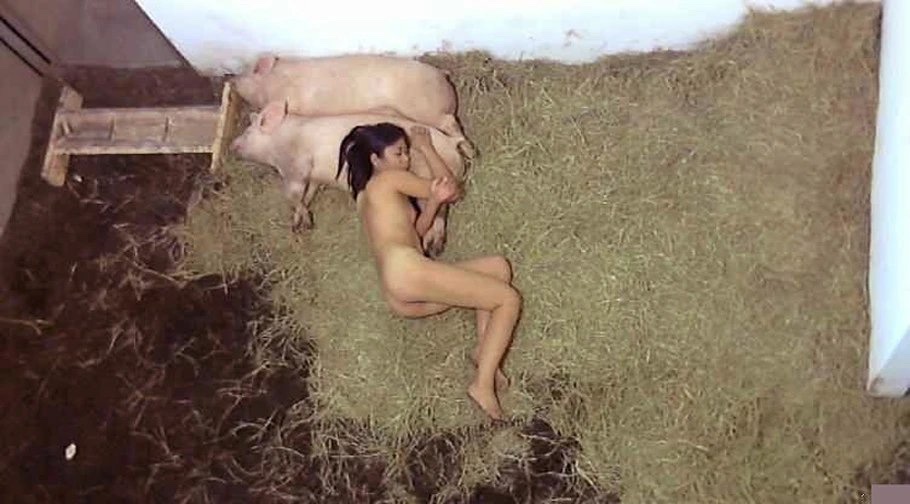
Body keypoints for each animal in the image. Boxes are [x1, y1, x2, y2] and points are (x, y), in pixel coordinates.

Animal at [229, 100, 470, 257]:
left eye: (247, 132)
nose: (232, 145)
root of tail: (452, 143)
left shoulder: (295, 167)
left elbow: (294, 195)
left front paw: (303, 223)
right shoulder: (314, 178)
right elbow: (308, 195)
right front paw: (299, 225)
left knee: (438, 210)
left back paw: (433, 247)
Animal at [231, 53, 474, 157]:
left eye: (250, 70)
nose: (231, 78)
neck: (278, 82)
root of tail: (442, 75)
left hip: (424, 108)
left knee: (450, 122)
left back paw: (472, 152)